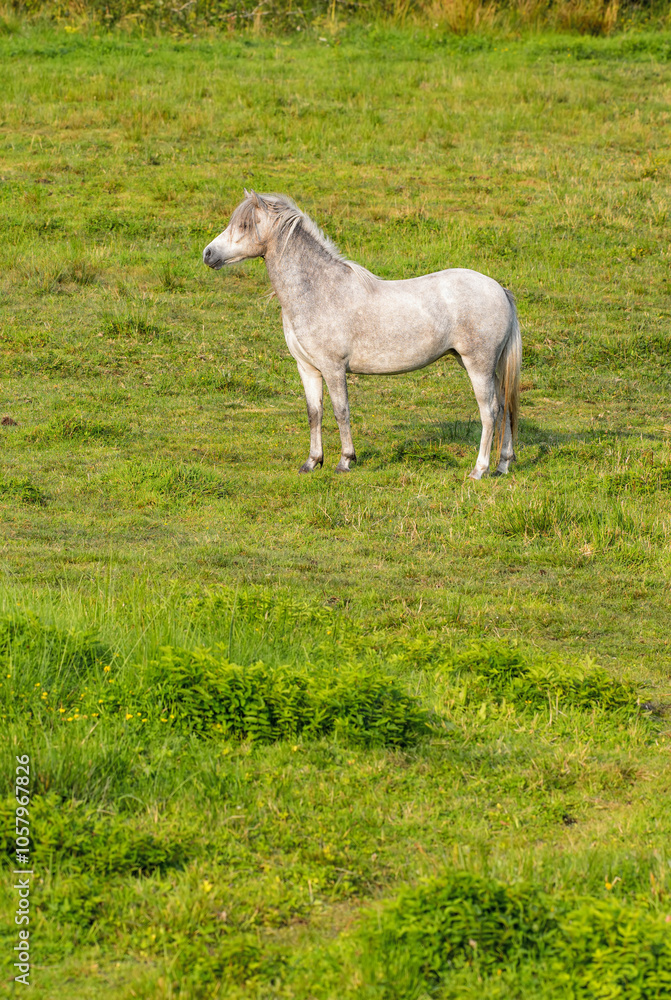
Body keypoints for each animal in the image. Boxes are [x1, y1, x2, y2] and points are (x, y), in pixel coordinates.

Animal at [203, 190, 521, 480]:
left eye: (245, 225)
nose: (208, 254)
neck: (320, 290)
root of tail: (499, 289)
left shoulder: (333, 368)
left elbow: (340, 411)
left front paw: (345, 461)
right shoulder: (308, 368)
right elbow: (314, 413)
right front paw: (312, 462)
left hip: (478, 364)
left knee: (489, 411)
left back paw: (479, 469)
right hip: (483, 365)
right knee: (504, 406)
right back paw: (503, 465)